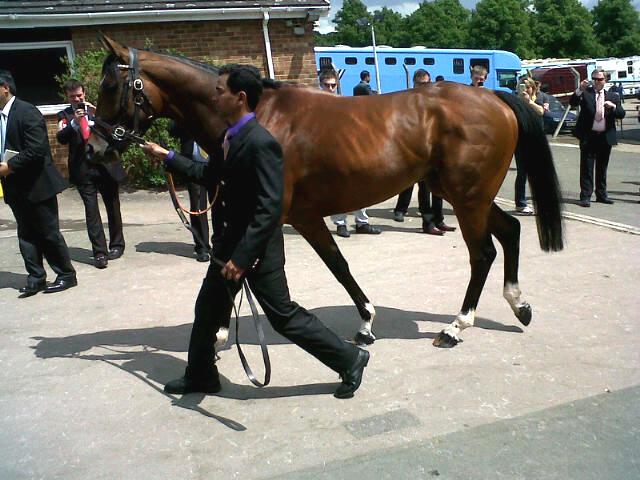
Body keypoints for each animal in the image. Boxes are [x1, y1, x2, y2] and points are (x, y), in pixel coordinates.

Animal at [91, 34, 564, 348]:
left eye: (111, 85)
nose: (95, 146)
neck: (256, 118)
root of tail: (497, 99)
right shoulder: (292, 214)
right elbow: (335, 264)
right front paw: (365, 323)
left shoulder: (278, 213)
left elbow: (312, 265)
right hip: (463, 195)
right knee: (510, 231)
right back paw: (519, 306)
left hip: (467, 199)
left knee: (483, 253)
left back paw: (456, 326)